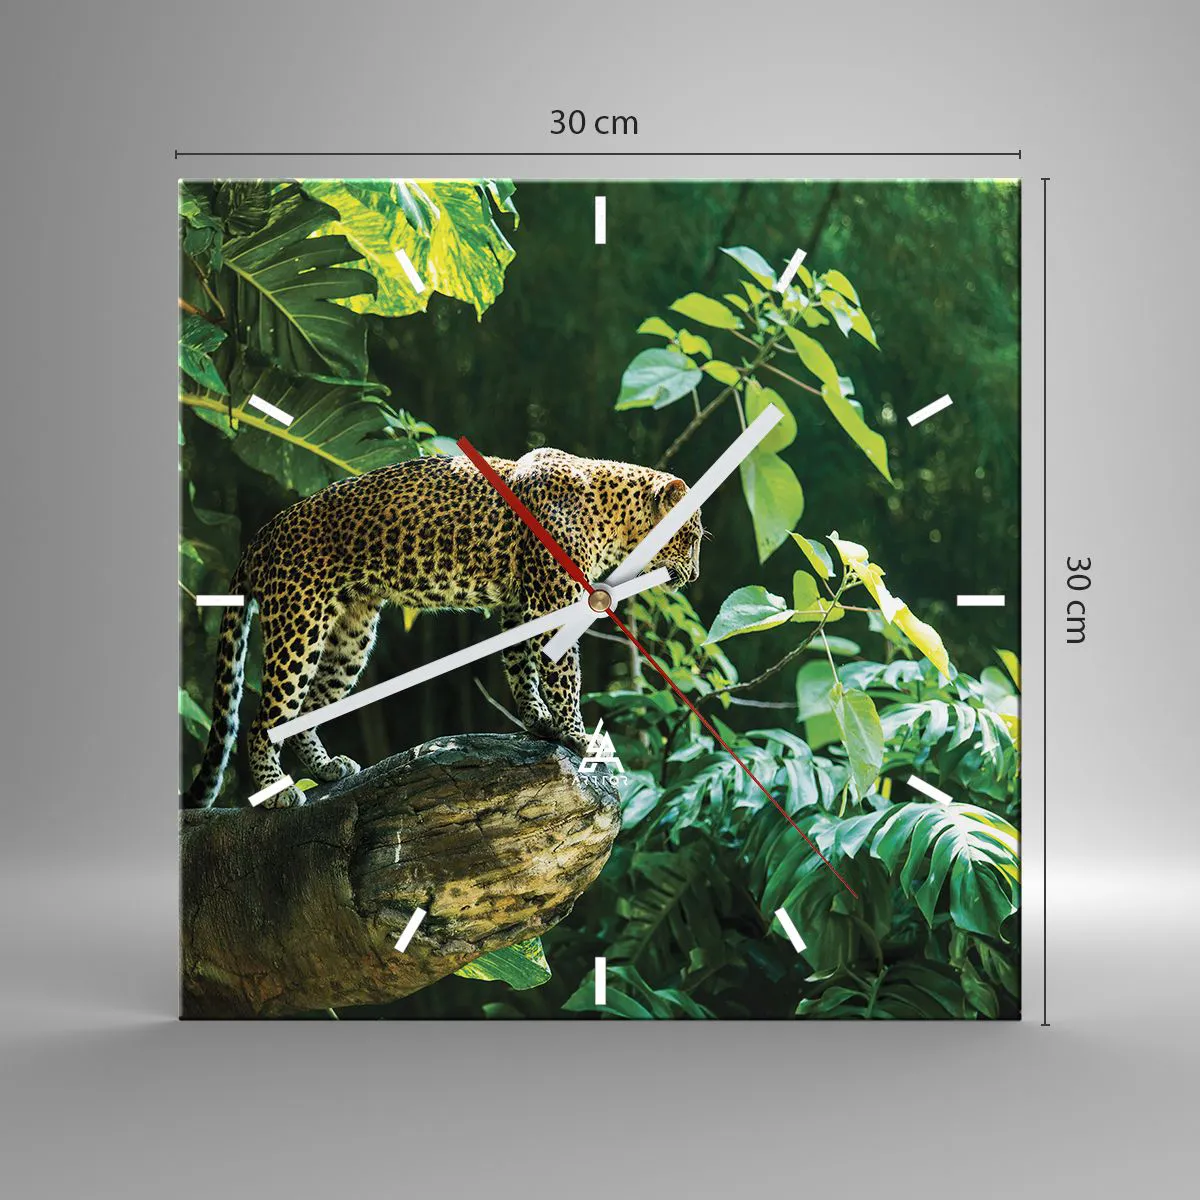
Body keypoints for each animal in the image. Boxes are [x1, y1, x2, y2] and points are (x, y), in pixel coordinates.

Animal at [183, 447, 703, 809]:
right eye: (692, 535)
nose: (696, 575)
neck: (613, 518)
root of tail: (264, 532)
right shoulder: (552, 599)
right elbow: (563, 675)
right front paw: (578, 736)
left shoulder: (519, 603)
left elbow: (521, 666)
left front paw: (537, 721)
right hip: (299, 622)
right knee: (263, 719)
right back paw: (275, 792)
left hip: (350, 636)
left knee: (306, 709)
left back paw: (328, 768)